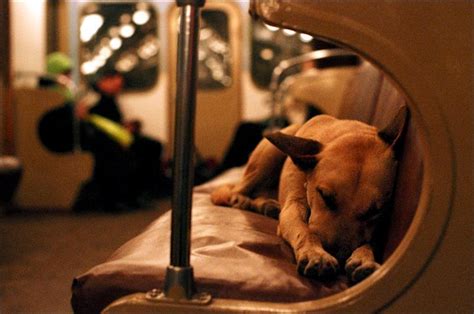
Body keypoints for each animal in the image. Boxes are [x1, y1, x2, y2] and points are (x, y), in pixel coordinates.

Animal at [212, 107, 408, 282]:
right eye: (324, 196)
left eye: (376, 211)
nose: (339, 256)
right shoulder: (293, 206)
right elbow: (305, 231)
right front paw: (316, 254)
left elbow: (369, 241)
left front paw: (365, 258)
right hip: (269, 155)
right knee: (233, 193)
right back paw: (246, 201)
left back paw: (268, 205)